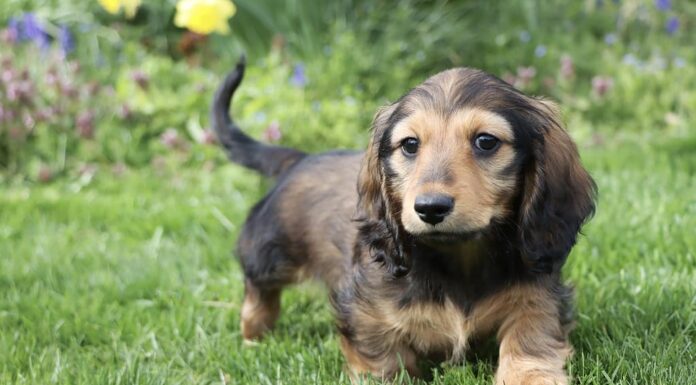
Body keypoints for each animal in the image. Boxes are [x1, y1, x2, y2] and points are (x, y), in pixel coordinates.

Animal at [211, 57, 592, 384]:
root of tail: (299, 159)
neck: (459, 261)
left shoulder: (537, 298)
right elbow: (384, 361)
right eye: (410, 144)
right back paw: (254, 336)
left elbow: (529, 346)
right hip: (269, 253)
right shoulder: (367, 313)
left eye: (486, 141)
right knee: (258, 293)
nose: (430, 208)